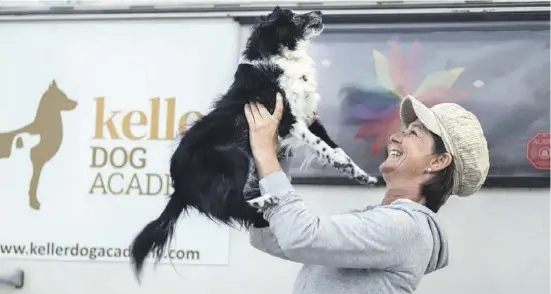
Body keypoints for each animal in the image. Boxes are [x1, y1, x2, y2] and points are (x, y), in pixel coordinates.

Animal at [130, 6, 380, 278]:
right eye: (294, 17)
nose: (320, 11)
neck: (283, 58)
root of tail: (180, 186)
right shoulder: (289, 120)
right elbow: (323, 147)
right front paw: (343, 165)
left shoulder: (310, 118)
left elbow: (336, 148)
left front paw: (361, 175)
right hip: (235, 157)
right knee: (229, 204)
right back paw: (268, 200)